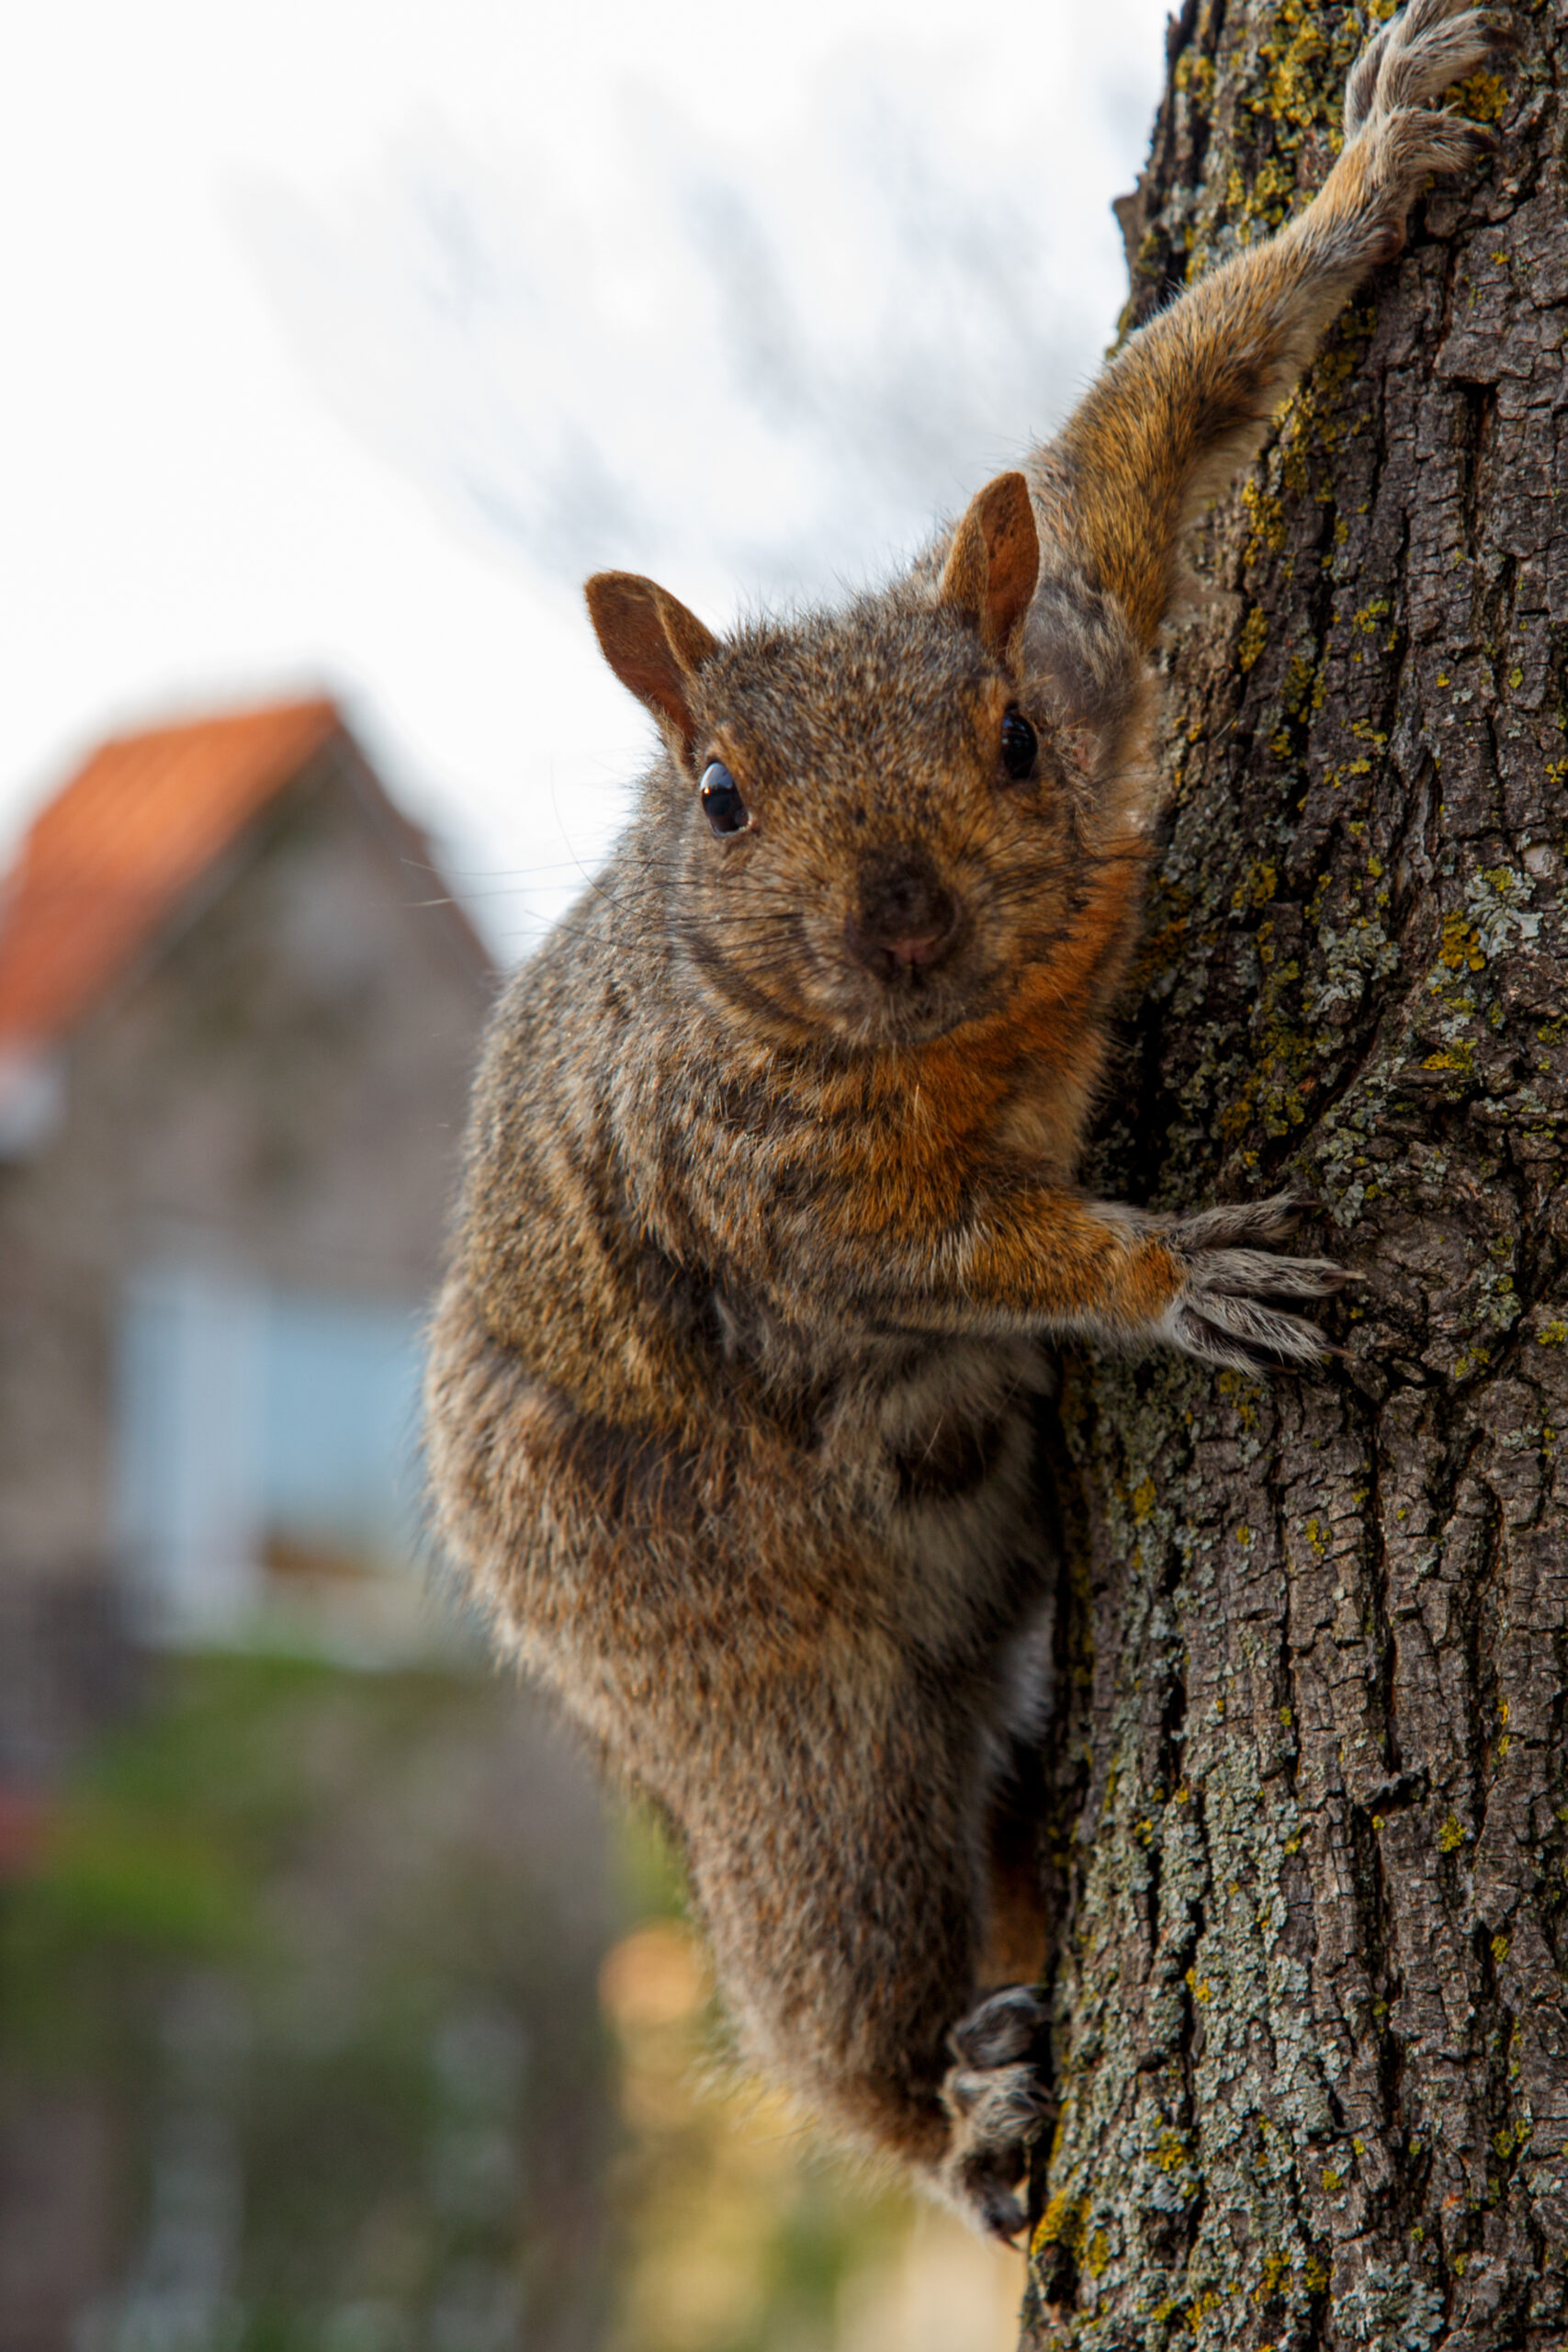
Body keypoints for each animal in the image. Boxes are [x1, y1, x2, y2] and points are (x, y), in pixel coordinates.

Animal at [425, 0, 1504, 2239]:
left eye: (1006, 736)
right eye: (715, 795)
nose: (899, 913)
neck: (983, 1030)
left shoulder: (1086, 628)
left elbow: (1147, 424)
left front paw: (1367, 172)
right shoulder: (760, 1181)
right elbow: (944, 1246)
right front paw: (1175, 1274)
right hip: (758, 1707)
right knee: (824, 1970)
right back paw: (963, 2115)